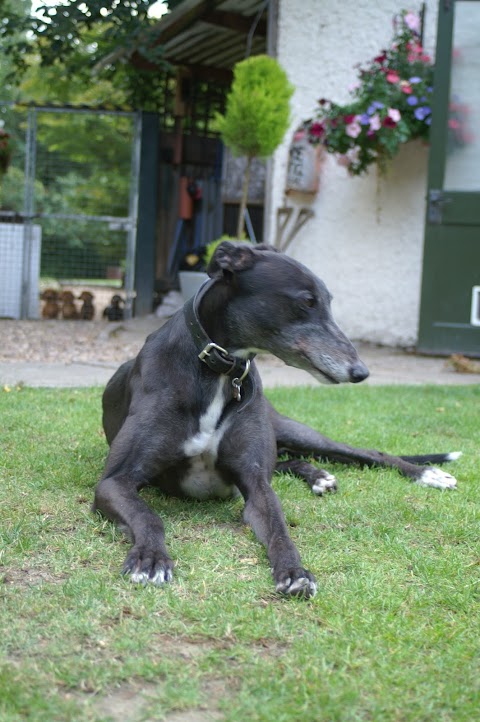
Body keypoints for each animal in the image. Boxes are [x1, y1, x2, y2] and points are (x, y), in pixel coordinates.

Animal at [95, 242, 460, 596]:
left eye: (329, 302)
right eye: (307, 302)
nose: (361, 372)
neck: (218, 371)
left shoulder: (256, 483)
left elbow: (279, 527)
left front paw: (295, 572)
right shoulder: (115, 481)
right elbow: (148, 515)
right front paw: (151, 559)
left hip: (294, 430)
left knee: (368, 453)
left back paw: (426, 474)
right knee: (291, 461)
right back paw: (319, 476)